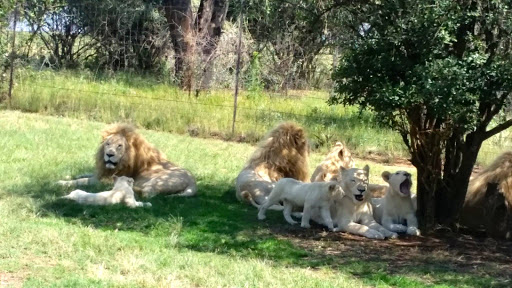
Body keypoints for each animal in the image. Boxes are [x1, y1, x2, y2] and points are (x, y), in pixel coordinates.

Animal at [58, 124, 197, 198]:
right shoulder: (101, 172)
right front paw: (68, 175)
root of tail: (193, 182)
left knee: (148, 193)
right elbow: (85, 174)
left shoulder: (104, 179)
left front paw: (61, 182)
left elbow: (82, 180)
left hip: (159, 181)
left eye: (119, 146)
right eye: (108, 144)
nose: (109, 154)